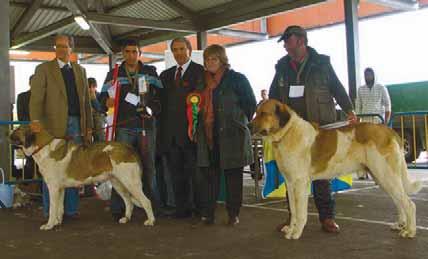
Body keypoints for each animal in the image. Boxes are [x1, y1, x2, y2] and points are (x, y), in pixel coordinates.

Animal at [9, 125, 155, 231]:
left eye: (17, 130)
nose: (7, 133)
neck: (43, 147)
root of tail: (129, 147)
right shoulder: (60, 189)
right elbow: (59, 208)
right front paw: (57, 222)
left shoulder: (53, 188)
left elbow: (52, 208)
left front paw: (49, 225)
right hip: (118, 183)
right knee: (129, 201)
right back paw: (126, 218)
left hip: (130, 182)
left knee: (146, 201)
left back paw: (150, 221)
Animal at [251, 99, 422, 240]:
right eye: (256, 112)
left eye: (264, 113)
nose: (248, 125)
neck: (287, 132)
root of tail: (389, 131)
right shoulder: (290, 182)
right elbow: (293, 209)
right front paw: (290, 228)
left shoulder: (300, 183)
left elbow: (300, 212)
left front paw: (296, 232)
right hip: (382, 177)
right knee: (399, 201)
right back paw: (400, 225)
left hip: (385, 174)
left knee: (409, 204)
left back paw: (410, 231)